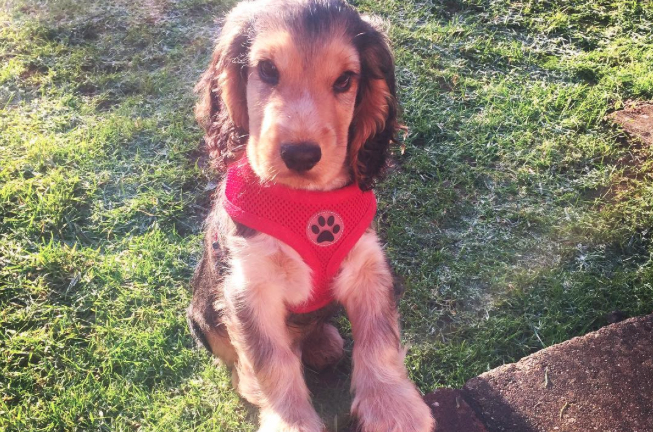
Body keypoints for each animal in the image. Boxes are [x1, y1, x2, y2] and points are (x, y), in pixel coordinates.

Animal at [186, 1, 436, 430]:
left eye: (345, 80)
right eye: (267, 70)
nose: (300, 155)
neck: (306, 203)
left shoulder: (367, 266)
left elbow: (379, 340)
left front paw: (395, 407)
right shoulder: (250, 287)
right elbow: (271, 362)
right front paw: (290, 421)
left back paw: (323, 342)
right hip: (201, 314)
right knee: (238, 357)